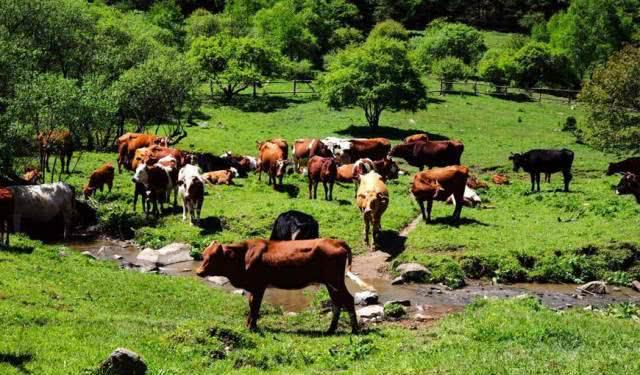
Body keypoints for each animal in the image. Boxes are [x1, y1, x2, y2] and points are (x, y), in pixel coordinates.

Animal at [195, 239, 360, 334]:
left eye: (213, 257)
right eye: (204, 255)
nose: (198, 271)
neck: (243, 257)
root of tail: (336, 241)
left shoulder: (259, 286)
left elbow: (255, 306)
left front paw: (252, 327)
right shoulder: (254, 287)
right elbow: (251, 304)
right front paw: (248, 325)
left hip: (335, 280)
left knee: (348, 299)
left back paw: (355, 330)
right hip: (331, 283)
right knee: (337, 302)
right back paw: (330, 330)